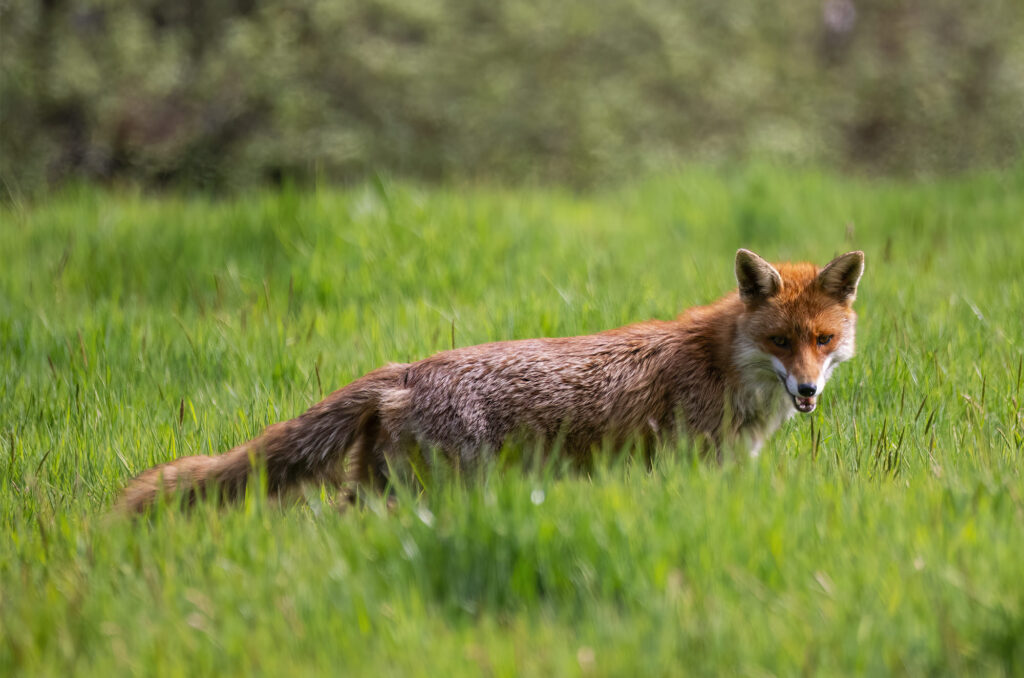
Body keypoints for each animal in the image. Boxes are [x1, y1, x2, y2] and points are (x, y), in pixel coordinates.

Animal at [117, 248, 865, 513]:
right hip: (438, 491)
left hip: (384, 491)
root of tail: (404, 370)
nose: (807, 393)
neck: (722, 365)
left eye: (823, 341)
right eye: (779, 342)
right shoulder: (691, 465)